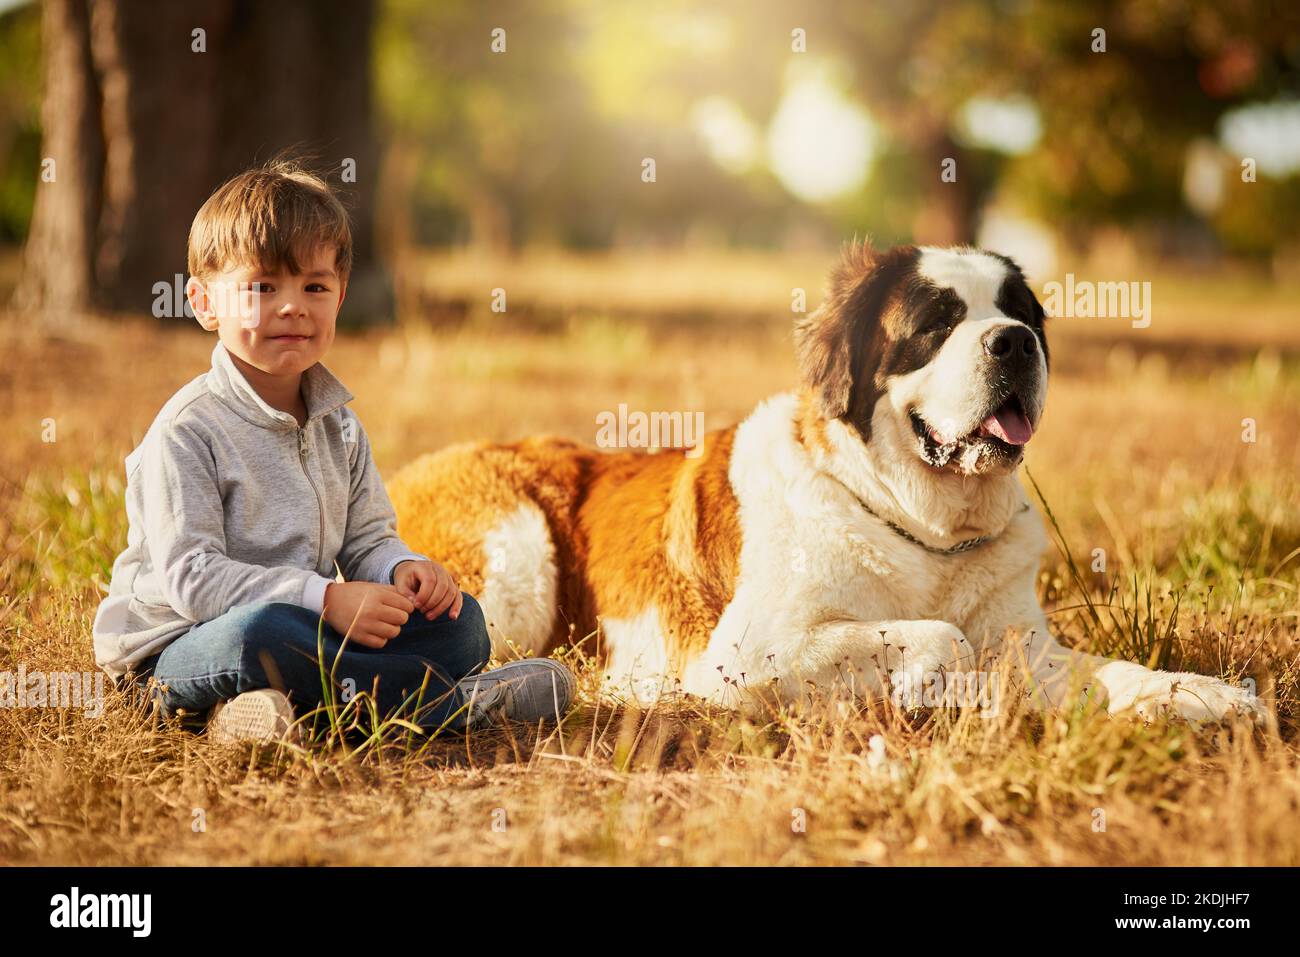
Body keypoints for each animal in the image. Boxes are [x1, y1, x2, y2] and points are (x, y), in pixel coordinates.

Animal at [384, 243, 1258, 722]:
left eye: (1025, 315)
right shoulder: (748, 651)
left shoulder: (1028, 642)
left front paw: (1201, 694)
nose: (1014, 342)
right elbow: (941, 637)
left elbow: (1102, 669)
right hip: (514, 557)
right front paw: (946, 691)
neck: (923, 532)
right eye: (937, 324)